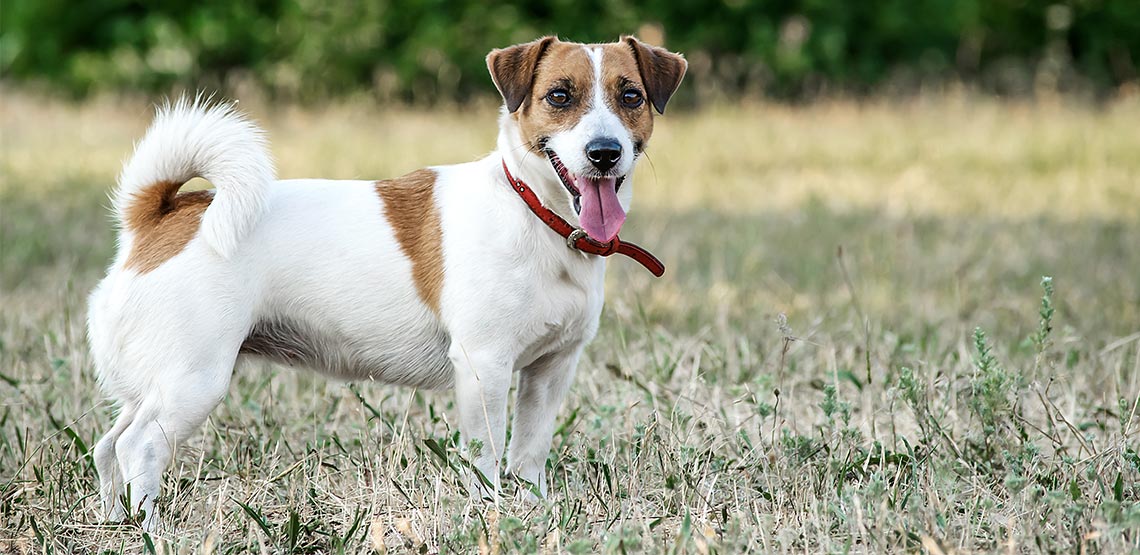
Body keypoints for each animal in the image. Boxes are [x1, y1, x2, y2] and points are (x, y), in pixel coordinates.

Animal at [88, 34, 684, 531]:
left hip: (160, 382)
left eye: (630, 96)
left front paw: (532, 511)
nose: (605, 152)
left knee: (109, 447)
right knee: (140, 447)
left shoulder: (552, 369)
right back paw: (152, 529)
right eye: (560, 96)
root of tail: (158, 215)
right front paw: (489, 514)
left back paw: (116, 523)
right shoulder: (484, 366)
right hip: (194, 380)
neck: (535, 212)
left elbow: (529, 453)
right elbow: (486, 456)